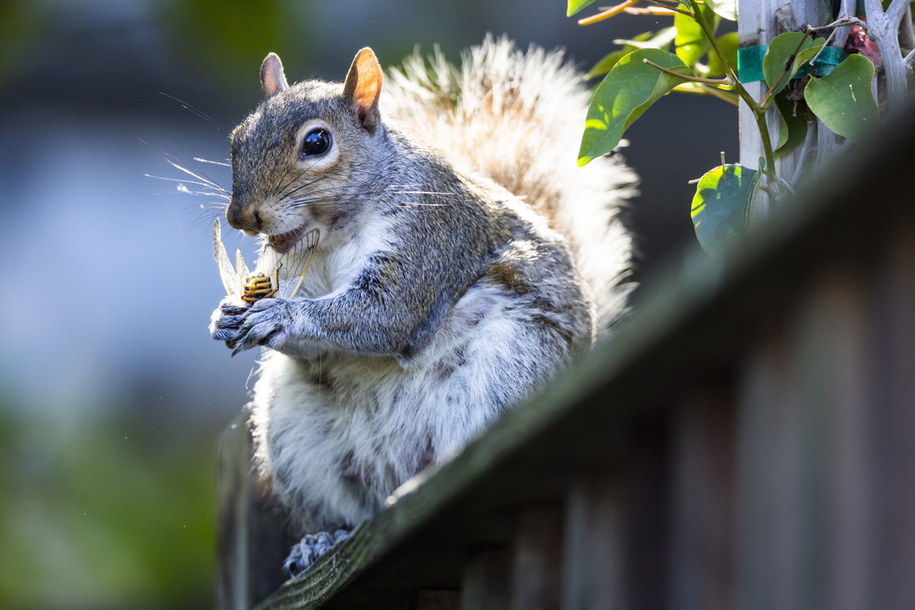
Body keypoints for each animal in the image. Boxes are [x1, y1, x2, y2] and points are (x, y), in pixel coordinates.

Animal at [210, 35, 632, 572]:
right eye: (237, 139)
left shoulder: (429, 234)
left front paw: (280, 315)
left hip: (510, 370)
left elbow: (387, 313)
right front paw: (225, 317)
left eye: (317, 143)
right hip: (299, 436)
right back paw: (323, 540)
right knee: (356, 506)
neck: (332, 234)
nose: (241, 216)